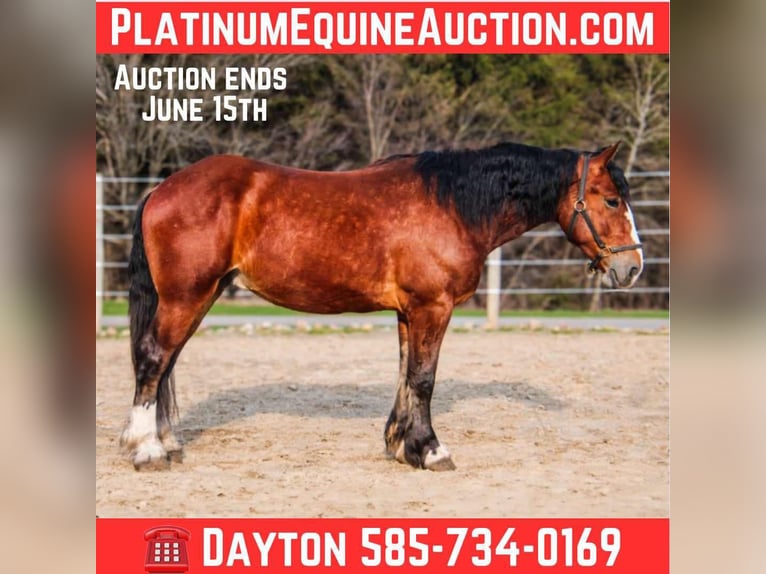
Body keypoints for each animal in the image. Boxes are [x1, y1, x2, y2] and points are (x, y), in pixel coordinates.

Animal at [120, 141, 643, 471]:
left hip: (199, 296)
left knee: (165, 364)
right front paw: (431, 451)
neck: (453, 205)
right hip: (186, 297)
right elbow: (425, 379)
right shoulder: (433, 307)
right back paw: (147, 451)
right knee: (153, 359)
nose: (633, 267)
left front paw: (400, 445)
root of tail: (162, 189)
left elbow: (406, 376)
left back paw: (167, 443)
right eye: (611, 201)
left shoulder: (409, 312)